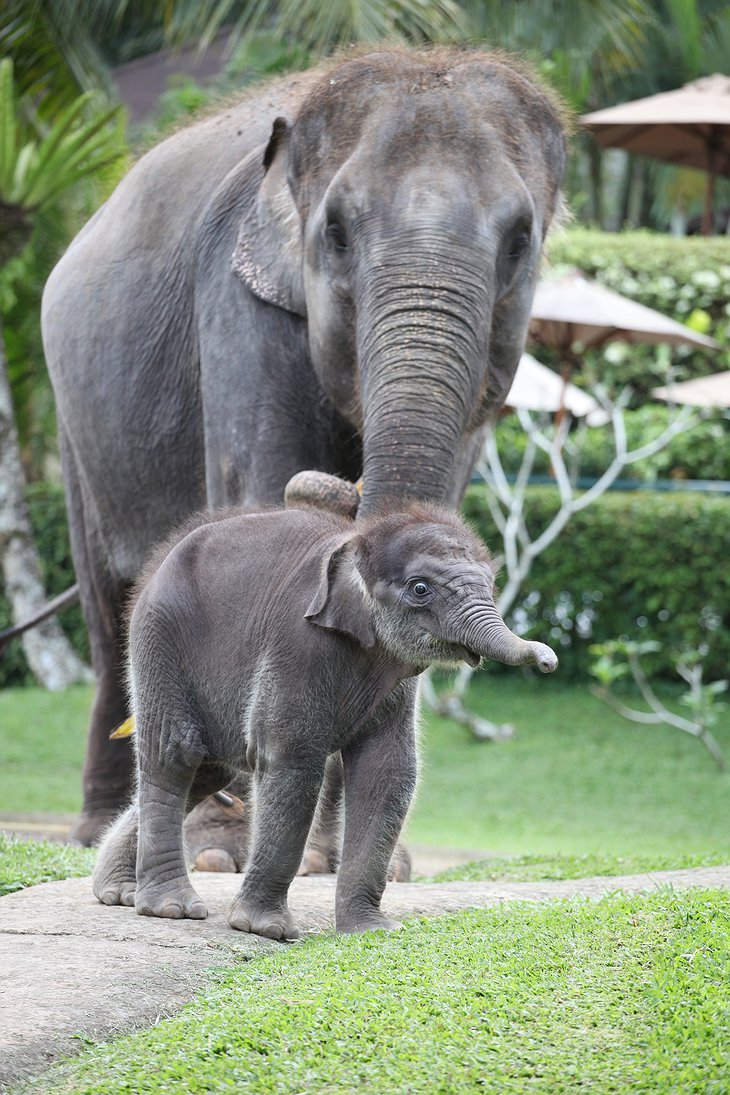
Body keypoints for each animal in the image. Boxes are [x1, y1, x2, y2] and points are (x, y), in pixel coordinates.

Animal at [39, 44, 569, 845]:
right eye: (338, 232)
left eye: (519, 240)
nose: (347, 487)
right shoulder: (236, 303)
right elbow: (256, 490)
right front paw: (227, 847)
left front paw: (333, 853)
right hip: (77, 424)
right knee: (107, 605)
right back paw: (103, 828)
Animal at [94, 501, 555, 937]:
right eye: (420, 588)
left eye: (491, 585)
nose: (548, 659)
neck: (357, 543)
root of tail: (156, 563)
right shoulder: (297, 645)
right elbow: (293, 760)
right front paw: (265, 930)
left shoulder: (397, 679)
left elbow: (387, 772)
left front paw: (371, 931)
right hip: (159, 639)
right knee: (176, 754)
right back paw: (169, 908)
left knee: (208, 773)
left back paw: (117, 892)